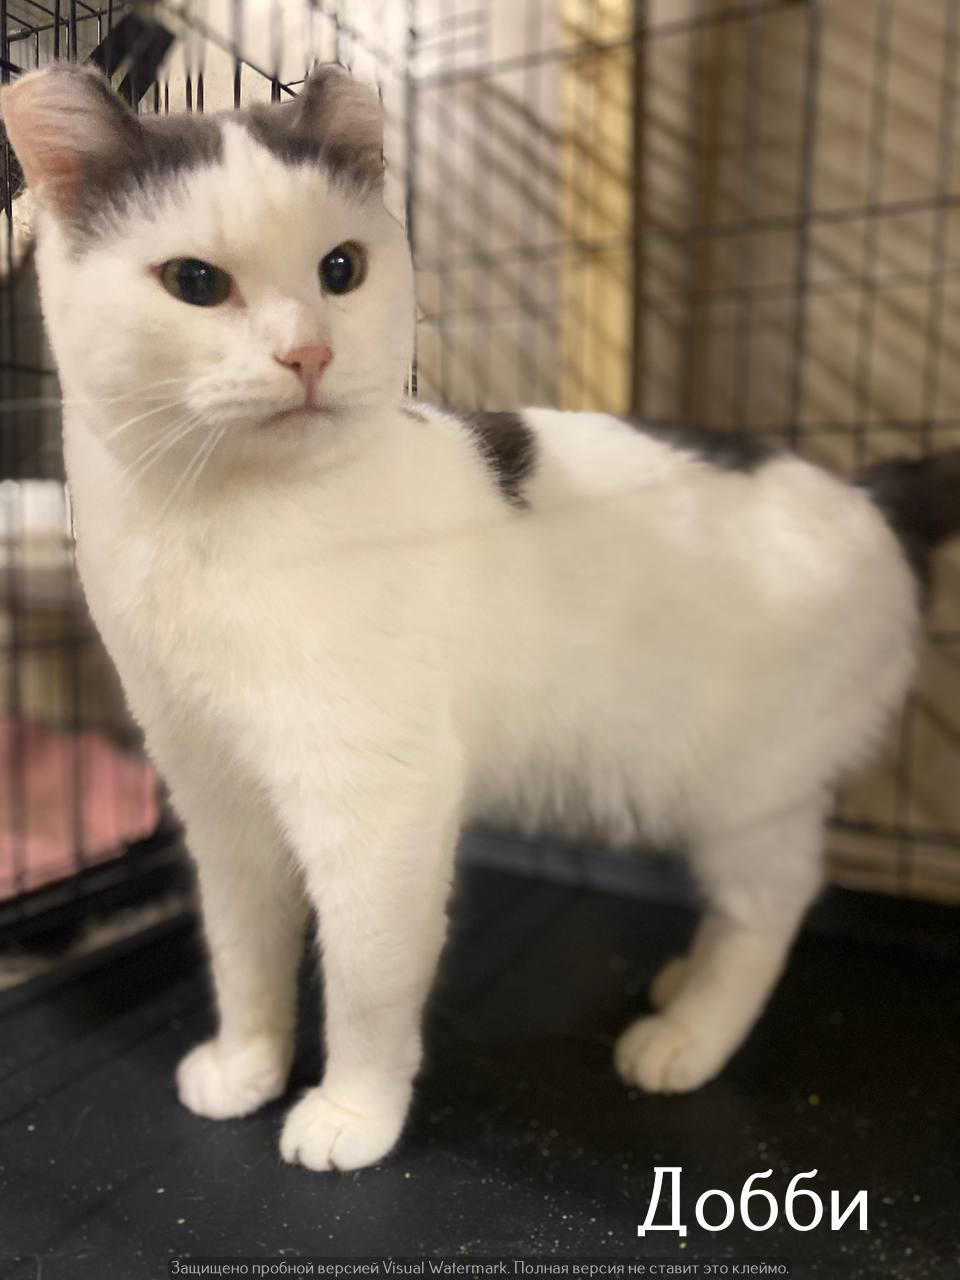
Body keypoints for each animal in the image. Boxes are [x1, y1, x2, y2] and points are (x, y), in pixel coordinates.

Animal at [4, 63, 959, 1173]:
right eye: (196, 283)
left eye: (341, 268)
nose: (307, 353)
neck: (214, 523)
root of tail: (872, 492)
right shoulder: (216, 794)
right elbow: (243, 948)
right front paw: (246, 1065)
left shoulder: (381, 804)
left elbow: (368, 978)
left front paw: (353, 1113)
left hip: (745, 789)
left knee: (772, 904)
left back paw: (688, 1033)